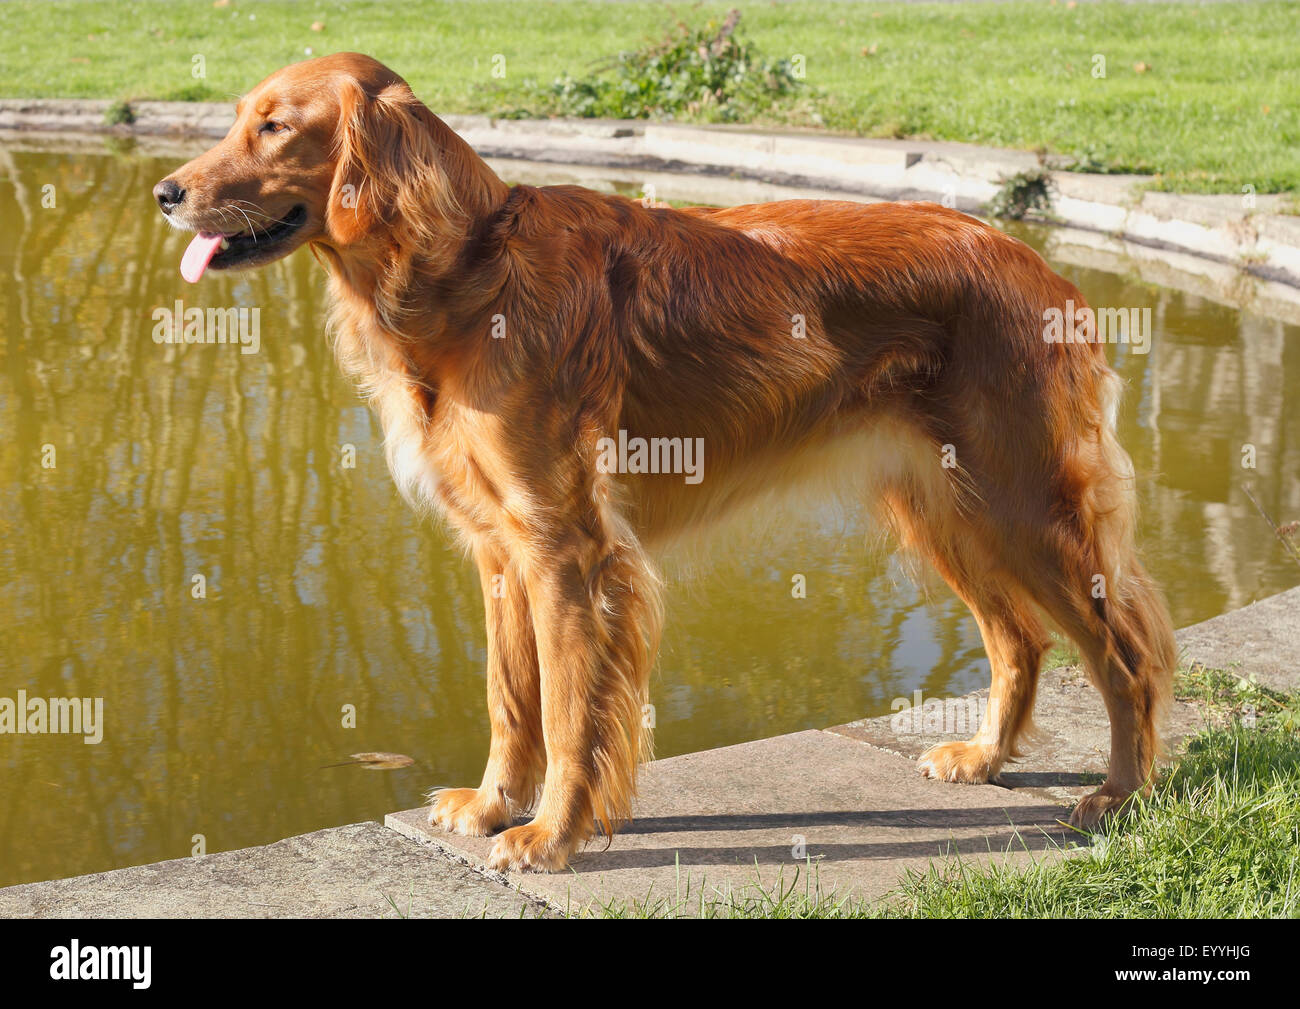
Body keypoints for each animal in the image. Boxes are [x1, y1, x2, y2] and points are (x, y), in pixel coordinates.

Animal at [154, 51, 1180, 868]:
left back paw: (1119, 794)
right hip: (946, 507)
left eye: (275, 127)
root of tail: (1034, 264)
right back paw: (985, 756)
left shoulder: (568, 549)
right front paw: (492, 806)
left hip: (1023, 504)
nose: (166, 193)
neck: (470, 270)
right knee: (1020, 639)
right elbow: (510, 699)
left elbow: (571, 713)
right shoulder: (500, 548)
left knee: (1126, 656)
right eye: (236, 120)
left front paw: (549, 835)